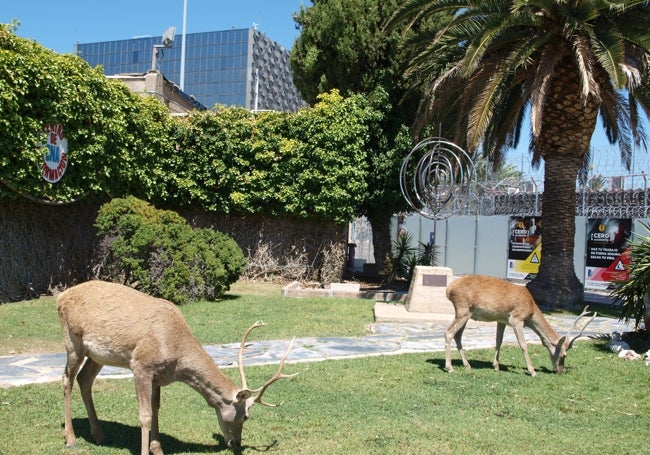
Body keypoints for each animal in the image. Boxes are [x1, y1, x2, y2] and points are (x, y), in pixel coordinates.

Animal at [57, 280, 298, 454]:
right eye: (245, 416)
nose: (236, 443)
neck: (176, 357)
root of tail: (60, 296)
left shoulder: (158, 376)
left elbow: (156, 409)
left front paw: (157, 448)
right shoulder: (141, 366)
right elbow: (145, 415)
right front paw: (146, 450)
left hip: (97, 356)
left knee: (84, 380)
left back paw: (98, 435)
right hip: (73, 342)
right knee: (67, 379)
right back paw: (71, 439)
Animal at [442, 274, 596, 378]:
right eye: (564, 355)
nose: (560, 371)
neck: (531, 309)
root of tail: (449, 289)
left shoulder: (501, 320)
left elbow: (498, 341)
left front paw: (496, 366)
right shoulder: (517, 319)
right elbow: (523, 344)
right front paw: (532, 371)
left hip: (466, 314)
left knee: (458, 335)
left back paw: (467, 365)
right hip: (462, 310)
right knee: (449, 333)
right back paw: (449, 367)